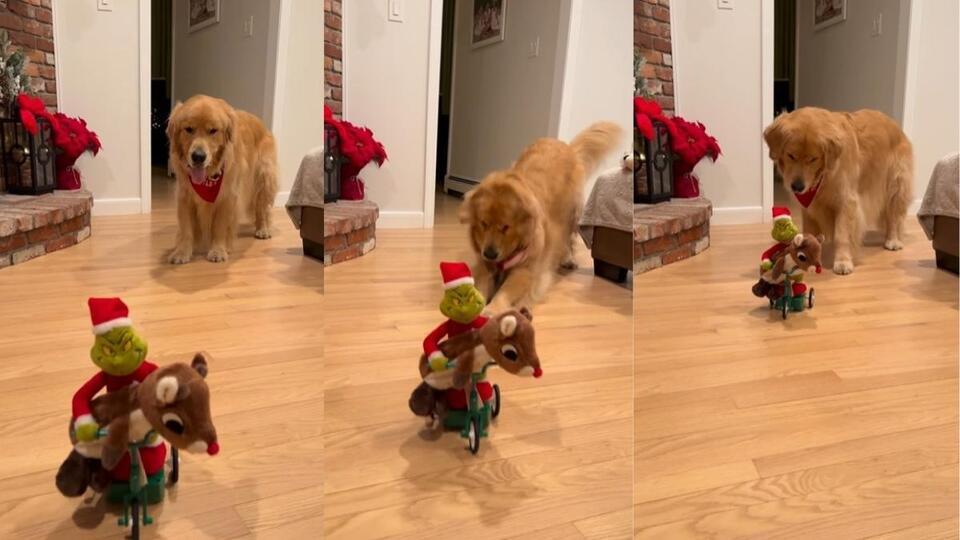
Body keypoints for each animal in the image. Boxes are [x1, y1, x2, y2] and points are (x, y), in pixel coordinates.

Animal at [166, 95, 278, 264]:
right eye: (189, 129)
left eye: (213, 131)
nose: (198, 157)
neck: (209, 177)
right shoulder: (184, 196)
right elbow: (186, 229)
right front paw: (182, 252)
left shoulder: (227, 197)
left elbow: (219, 227)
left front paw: (218, 250)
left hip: (264, 178)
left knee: (262, 207)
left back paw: (263, 229)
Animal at [459, 122, 622, 312]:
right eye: (483, 224)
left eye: (506, 227)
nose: (490, 253)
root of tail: (568, 147)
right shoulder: (484, 264)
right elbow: (482, 283)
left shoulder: (526, 269)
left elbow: (506, 291)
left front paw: (493, 309)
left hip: (571, 215)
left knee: (569, 239)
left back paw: (568, 259)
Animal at [764, 107, 913, 275]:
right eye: (791, 155)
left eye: (813, 159)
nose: (797, 187)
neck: (823, 177)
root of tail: (895, 125)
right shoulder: (809, 206)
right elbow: (810, 230)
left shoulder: (846, 201)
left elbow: (842, 235)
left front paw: (843, 261)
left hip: (895, 186)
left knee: (893, 216)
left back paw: (892, 240)